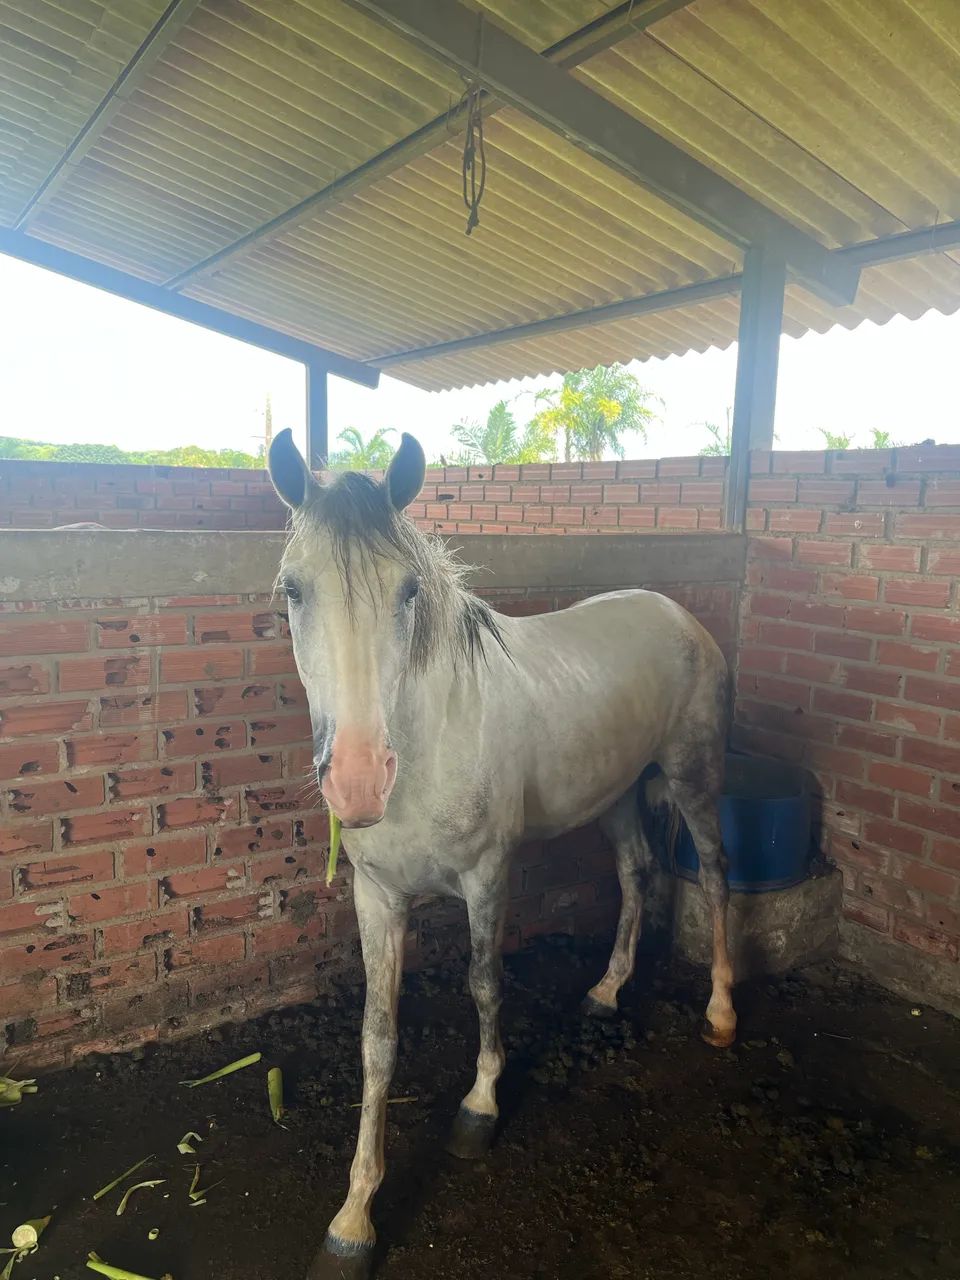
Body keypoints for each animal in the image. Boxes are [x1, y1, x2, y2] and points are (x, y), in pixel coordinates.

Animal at [268, 429, 737, 1280]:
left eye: (408, 592)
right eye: (293, 589)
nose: (357, 780)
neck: (429, 739)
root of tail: (677, 613)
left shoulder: (489, 877)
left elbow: (485, 984)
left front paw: (479, 1110)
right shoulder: (377, 896)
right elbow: (377, 1038)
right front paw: (354, 1219)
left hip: (693, 777)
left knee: (715, 874)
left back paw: (721, 1013)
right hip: (617, 796)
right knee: (636, 873)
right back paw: (606, 991)